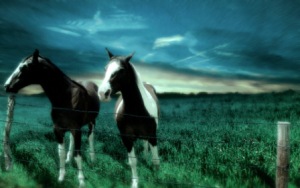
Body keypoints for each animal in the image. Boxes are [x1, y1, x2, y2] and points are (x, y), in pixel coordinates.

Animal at [3, 49, 99, 187]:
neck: (66, 97)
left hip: (91, 122)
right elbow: (61, 153)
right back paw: (69, 159)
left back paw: (92, 159)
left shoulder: (76, 129)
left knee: (91, 137)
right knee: (72, 140)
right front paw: (61, 178)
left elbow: (78, 155)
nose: (6, 86)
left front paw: (81, 181)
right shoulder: (58, 129)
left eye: (24, 67)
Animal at [98, 48, 159, 188]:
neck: (136, 111)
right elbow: (133, 162)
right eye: (105, 68)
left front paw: (156, 178)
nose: (102, 93)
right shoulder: (126, 137)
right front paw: (135, 182)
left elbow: (155, 161)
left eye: (121, 70)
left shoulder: (153, 136)